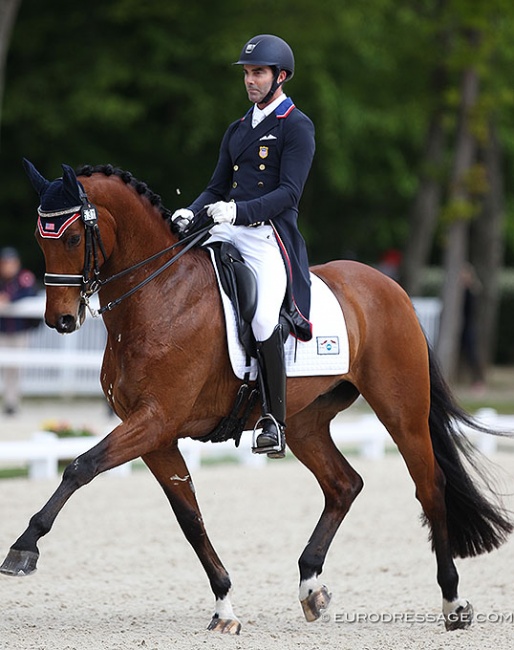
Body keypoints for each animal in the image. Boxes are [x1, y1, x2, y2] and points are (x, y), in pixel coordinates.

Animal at [2, 162, 510, 632]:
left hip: (401, 412)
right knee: (343, 484)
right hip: (304, 422)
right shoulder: (156, 435)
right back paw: (311, 587)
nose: (60, 321)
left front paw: (24, 549)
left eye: (71, 238)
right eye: (40, 238)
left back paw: (453, 602)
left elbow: (80, 466)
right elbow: (190, 518)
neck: (160, 296)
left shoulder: (154, 421)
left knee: (430, 487)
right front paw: (224, 606)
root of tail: (391, 288)